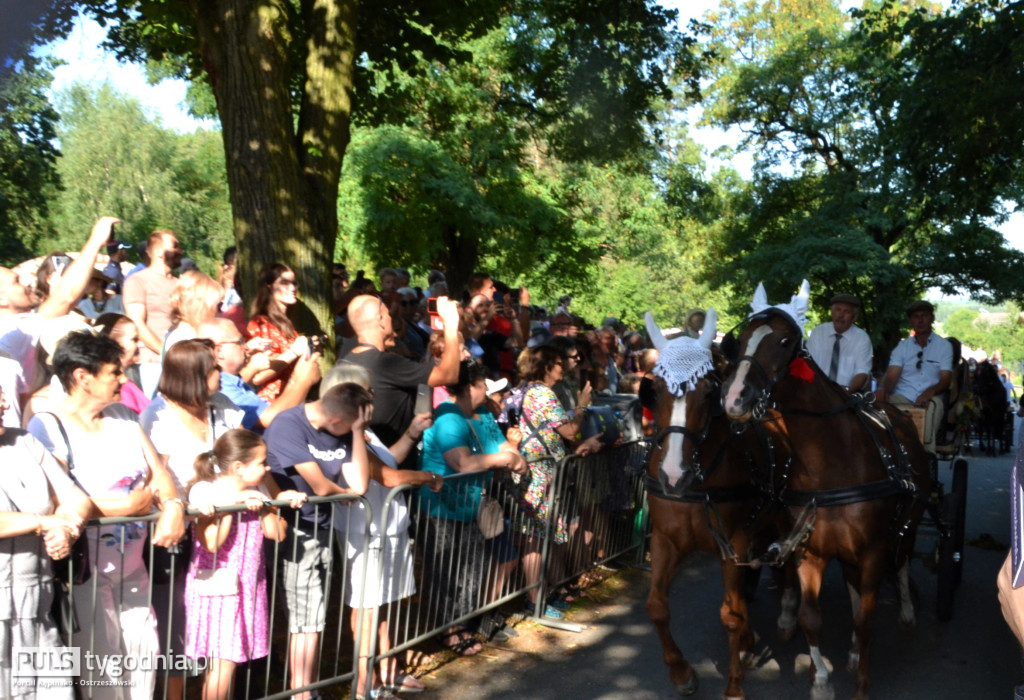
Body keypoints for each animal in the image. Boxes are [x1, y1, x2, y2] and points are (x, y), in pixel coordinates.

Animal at [720, 286, 929, 695]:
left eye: (784, 341)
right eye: (741, 340)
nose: (735, 397)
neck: (831, 461)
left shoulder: (874, 550)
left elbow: (866, 618)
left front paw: (862, 684)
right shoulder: (809, 552)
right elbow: (811, 617)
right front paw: (821, 680)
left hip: (907, 523)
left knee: (902, 561)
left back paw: (908, 612)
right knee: (852, 586)